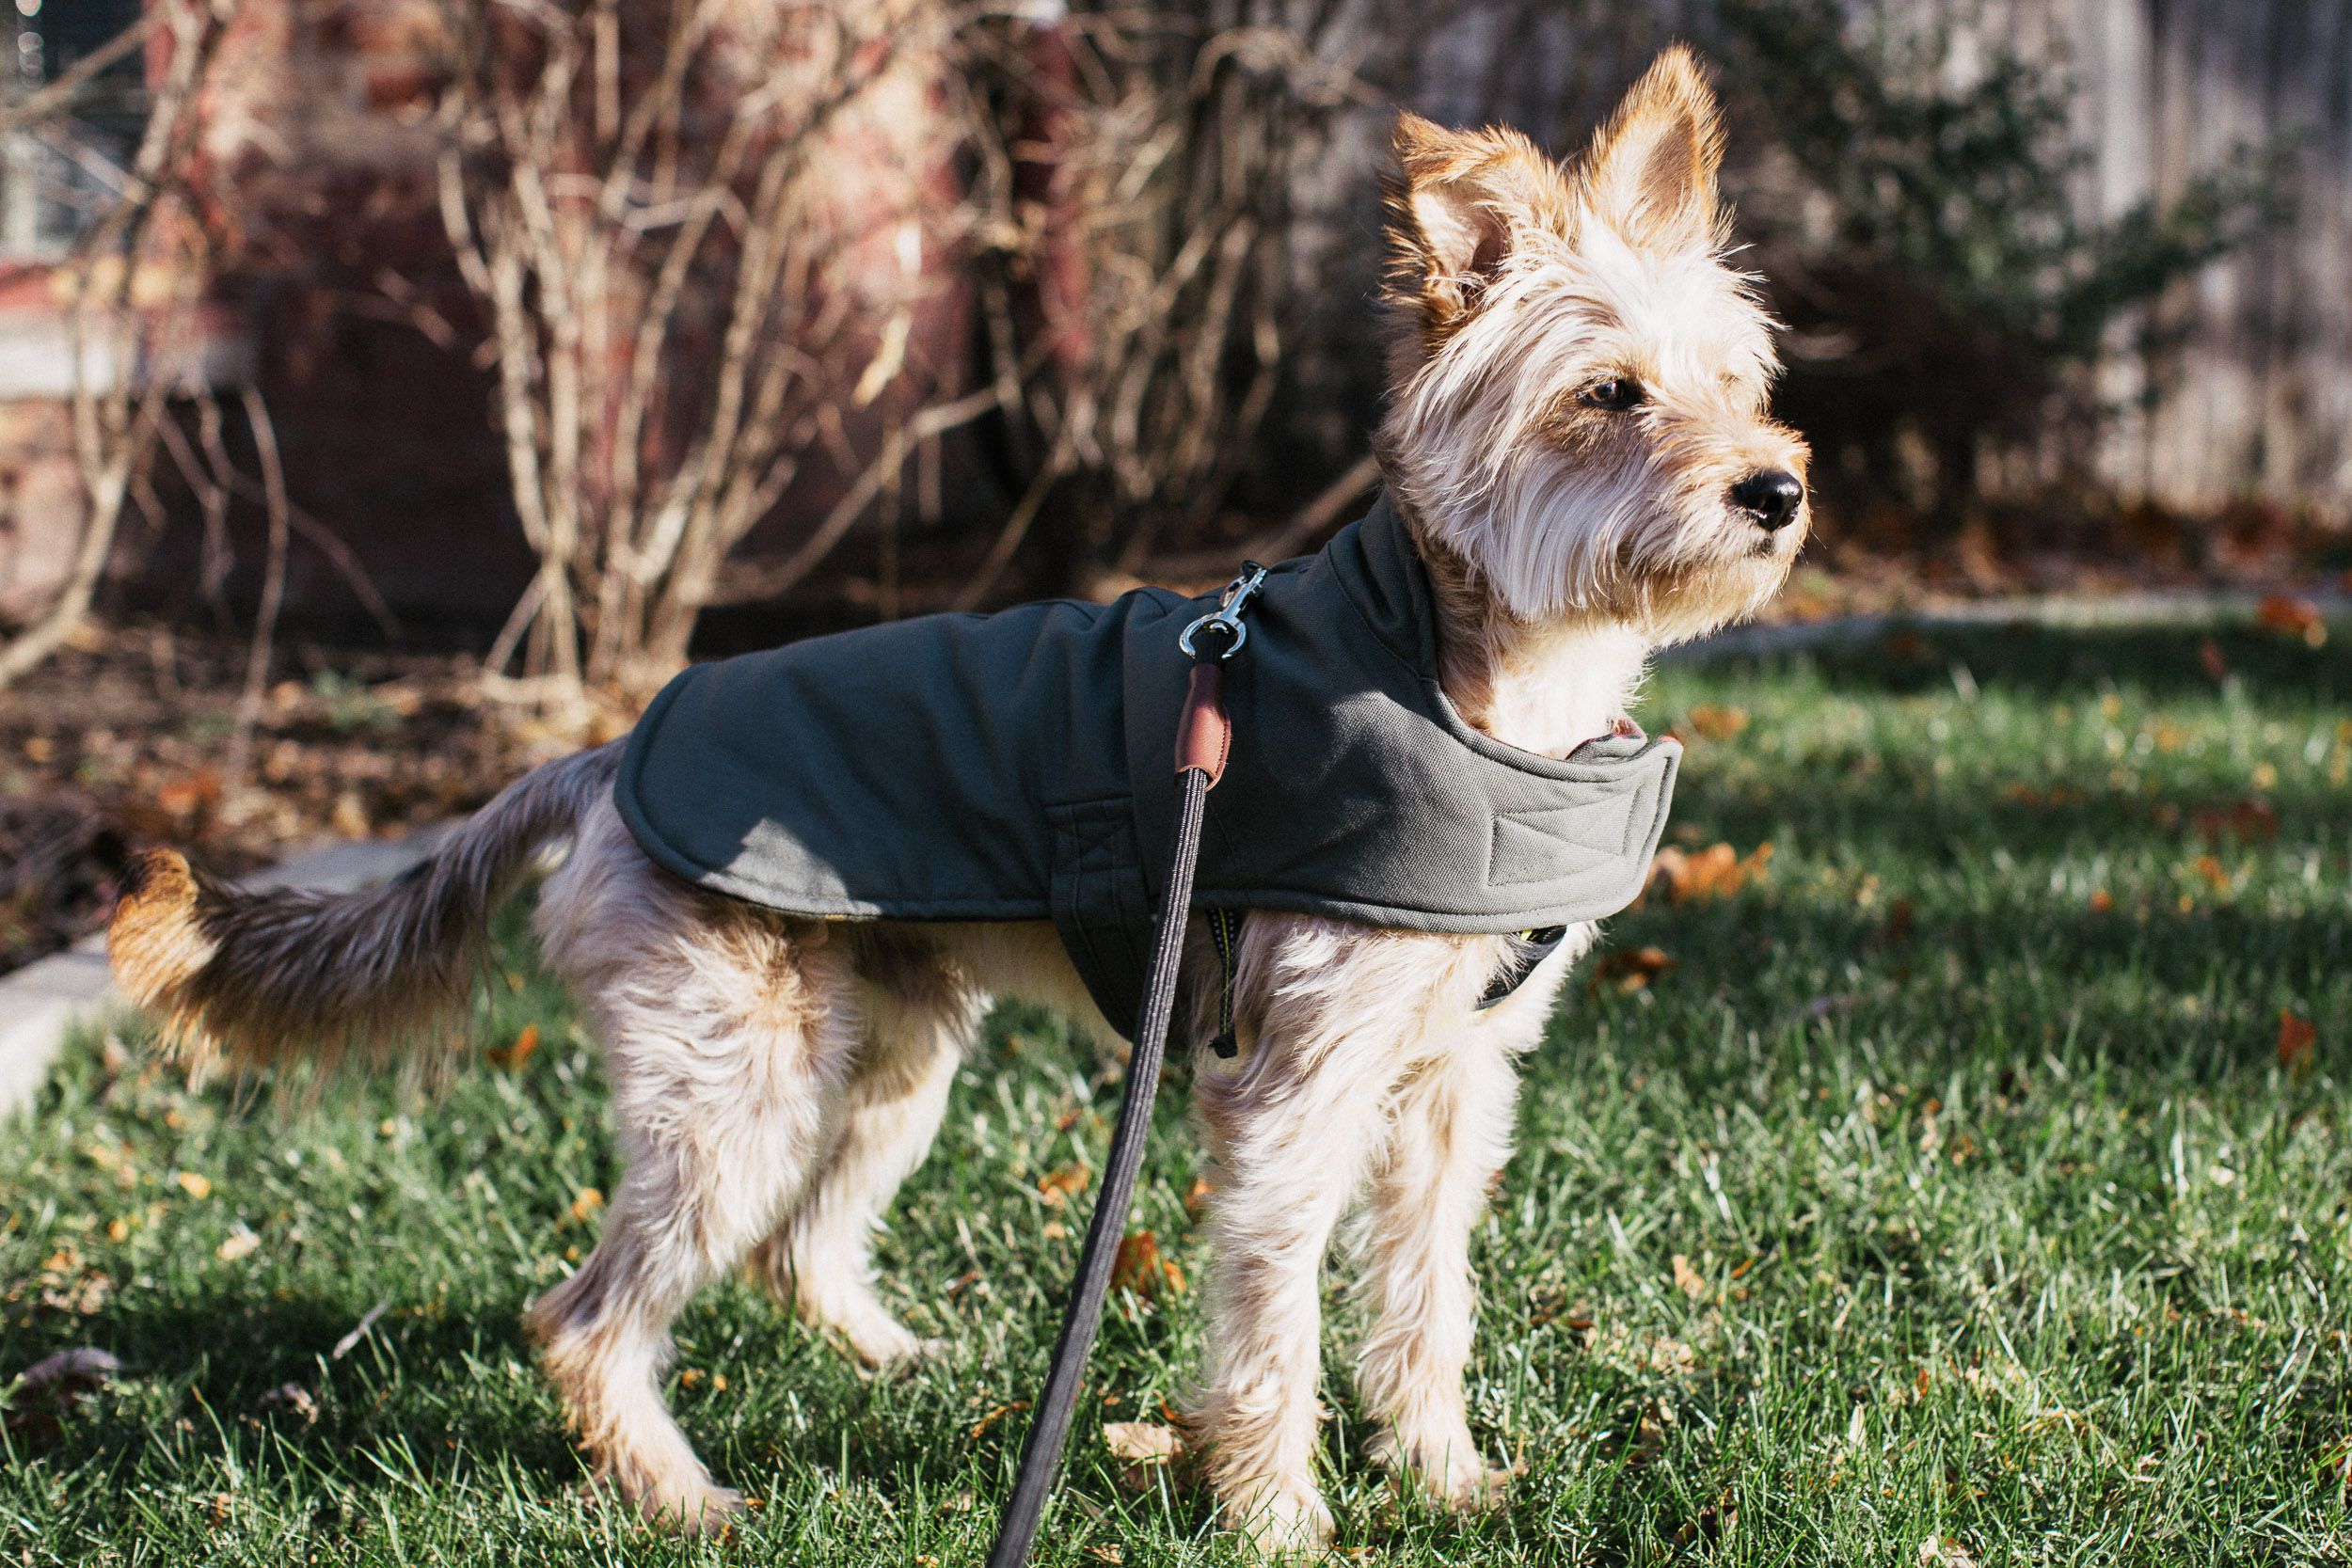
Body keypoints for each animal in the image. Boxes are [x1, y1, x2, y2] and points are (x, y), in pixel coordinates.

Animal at [105, 46, 1797, 1560]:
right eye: (1609, 395)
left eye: (1739, 386)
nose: (1778, 488)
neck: (1472, 673)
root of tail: (604, 755)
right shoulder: (1291, 1092)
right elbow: (1275, 1326)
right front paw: (1278, 1522)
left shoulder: (1452, 1085)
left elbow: (1426, 1301)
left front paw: (1444, 1478)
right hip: (742, 1087)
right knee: (585, 1316)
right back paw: (680, 1494)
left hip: (888, 1061)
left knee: (796, 1251)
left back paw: (904, 1368)